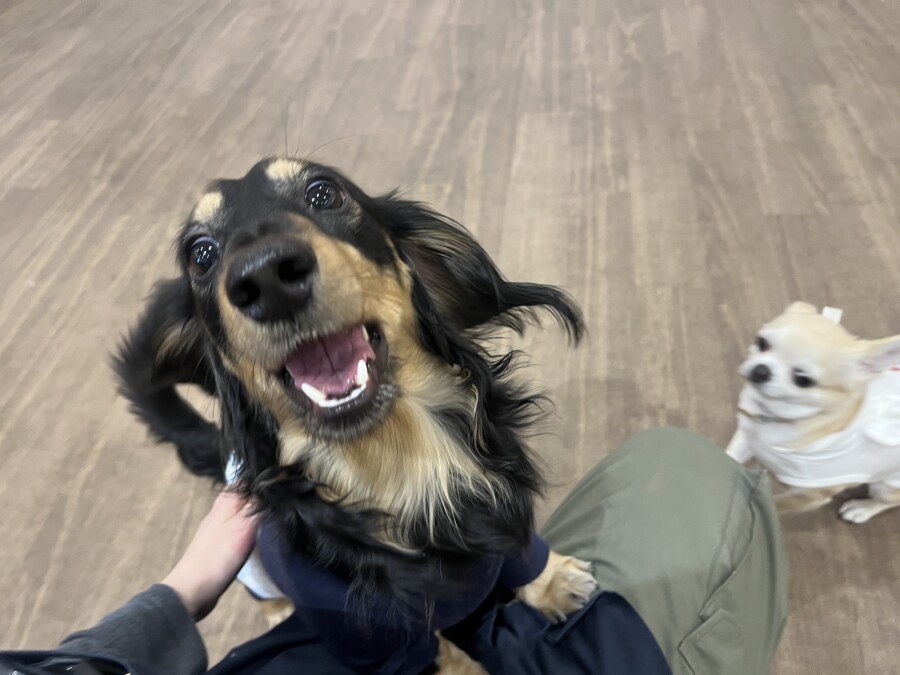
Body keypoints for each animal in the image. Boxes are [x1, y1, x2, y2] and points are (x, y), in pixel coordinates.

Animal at [114, 157, 597, 672]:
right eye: (201, 255)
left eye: (323, 193)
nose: (265, 277)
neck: (399, 461)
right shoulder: (372, 642)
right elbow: (437, 650)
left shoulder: (504, 510)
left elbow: (523, 554)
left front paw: (554, 580)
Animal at [726, 302, 900, 523]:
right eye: (762, 343)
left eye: (802, 379)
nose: (761, 370)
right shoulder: (747, 438)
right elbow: (730, 456)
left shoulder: (808, 497)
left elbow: (774, 505)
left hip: (886, 487)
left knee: (889, 502)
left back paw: (862, 509)